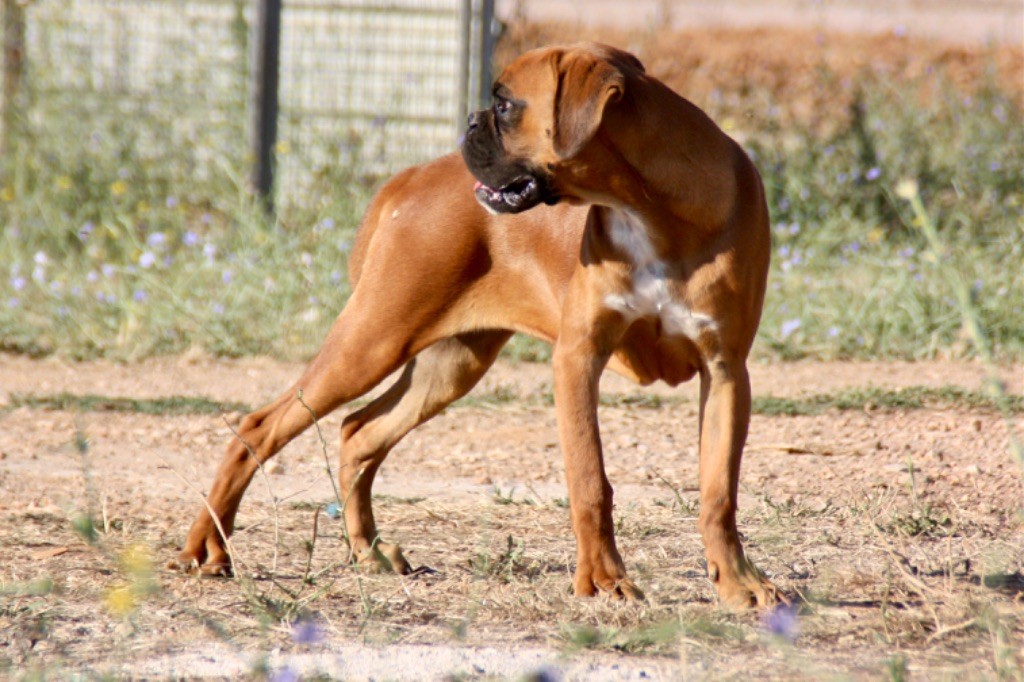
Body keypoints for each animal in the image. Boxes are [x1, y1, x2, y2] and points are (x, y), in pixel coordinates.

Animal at [172, 41, 774, 606]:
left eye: (504, 104)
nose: (469, 120)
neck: (649, 208)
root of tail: (412, 176)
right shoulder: (578, 358)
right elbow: (590, 480)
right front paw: (604, 581)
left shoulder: (725, 371)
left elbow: (718, 491)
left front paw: (737, 583)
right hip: (371, 342)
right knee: (259, 427)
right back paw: (208, 548)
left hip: (448, 364)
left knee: (358, 431)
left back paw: (368, 552)